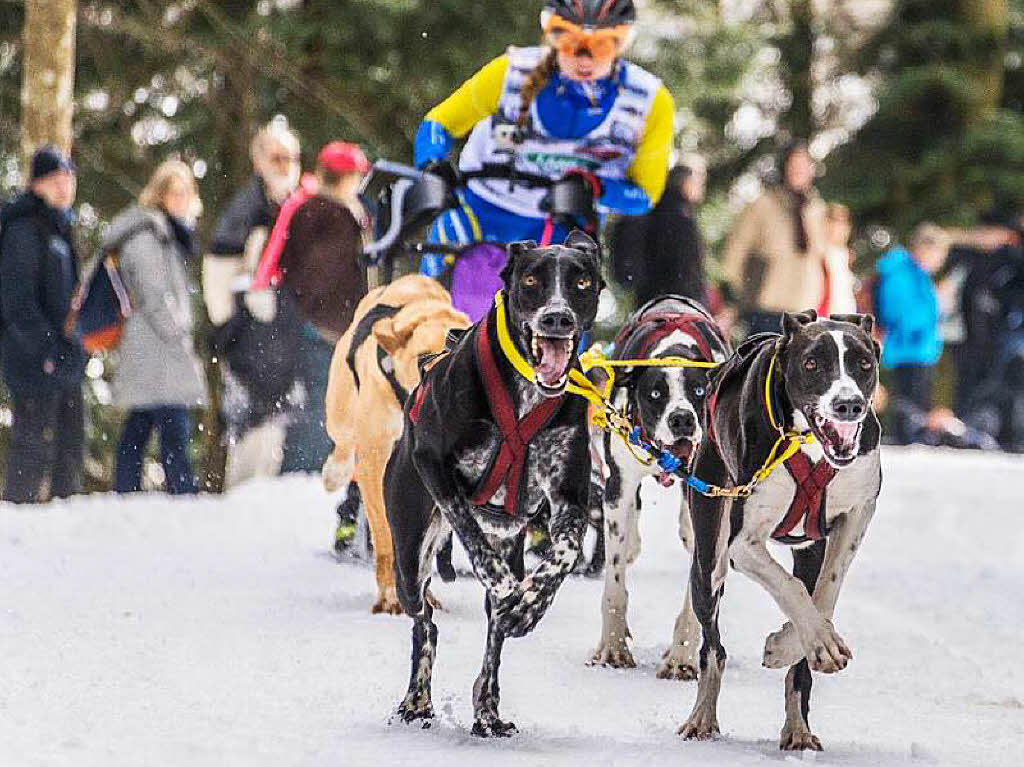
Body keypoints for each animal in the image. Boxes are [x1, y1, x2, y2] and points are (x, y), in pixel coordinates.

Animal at [323, 272, 471, 614]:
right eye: (422, 359)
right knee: (342, 447)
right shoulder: (375, 462)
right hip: (340, 415)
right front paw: (391, 597)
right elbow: (386, 538)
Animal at [387, 231, 602, 737]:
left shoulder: (570, 497)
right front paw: (507, 588)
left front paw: (529, 604)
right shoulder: (433, 464)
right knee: (425, 621)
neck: (525, 395)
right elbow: (471, 535)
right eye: (531, 281)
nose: (557, 318)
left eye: (581, 281)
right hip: (409, 558)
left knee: (492, 636)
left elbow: (562, 555)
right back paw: (417, 700)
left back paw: (487, 708)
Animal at [593, 294, 729, 684]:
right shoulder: (618, 489)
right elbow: (614, 583)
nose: (682, 419)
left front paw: (681, 657)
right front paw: (613, 648)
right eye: (655, 393)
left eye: (699, 391)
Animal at [679, 309, 880, 749]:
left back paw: (798, 727)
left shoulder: (857, 514)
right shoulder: (743, 545)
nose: (848, 405)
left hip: (806, 550)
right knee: (713, 650)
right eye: (812, 363)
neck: (806, 444)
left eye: (863, 363)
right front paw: (811, 641)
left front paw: (797, 644)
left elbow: (824, 595)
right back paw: (702, 715)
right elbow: (790, 589)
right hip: (708, 559)